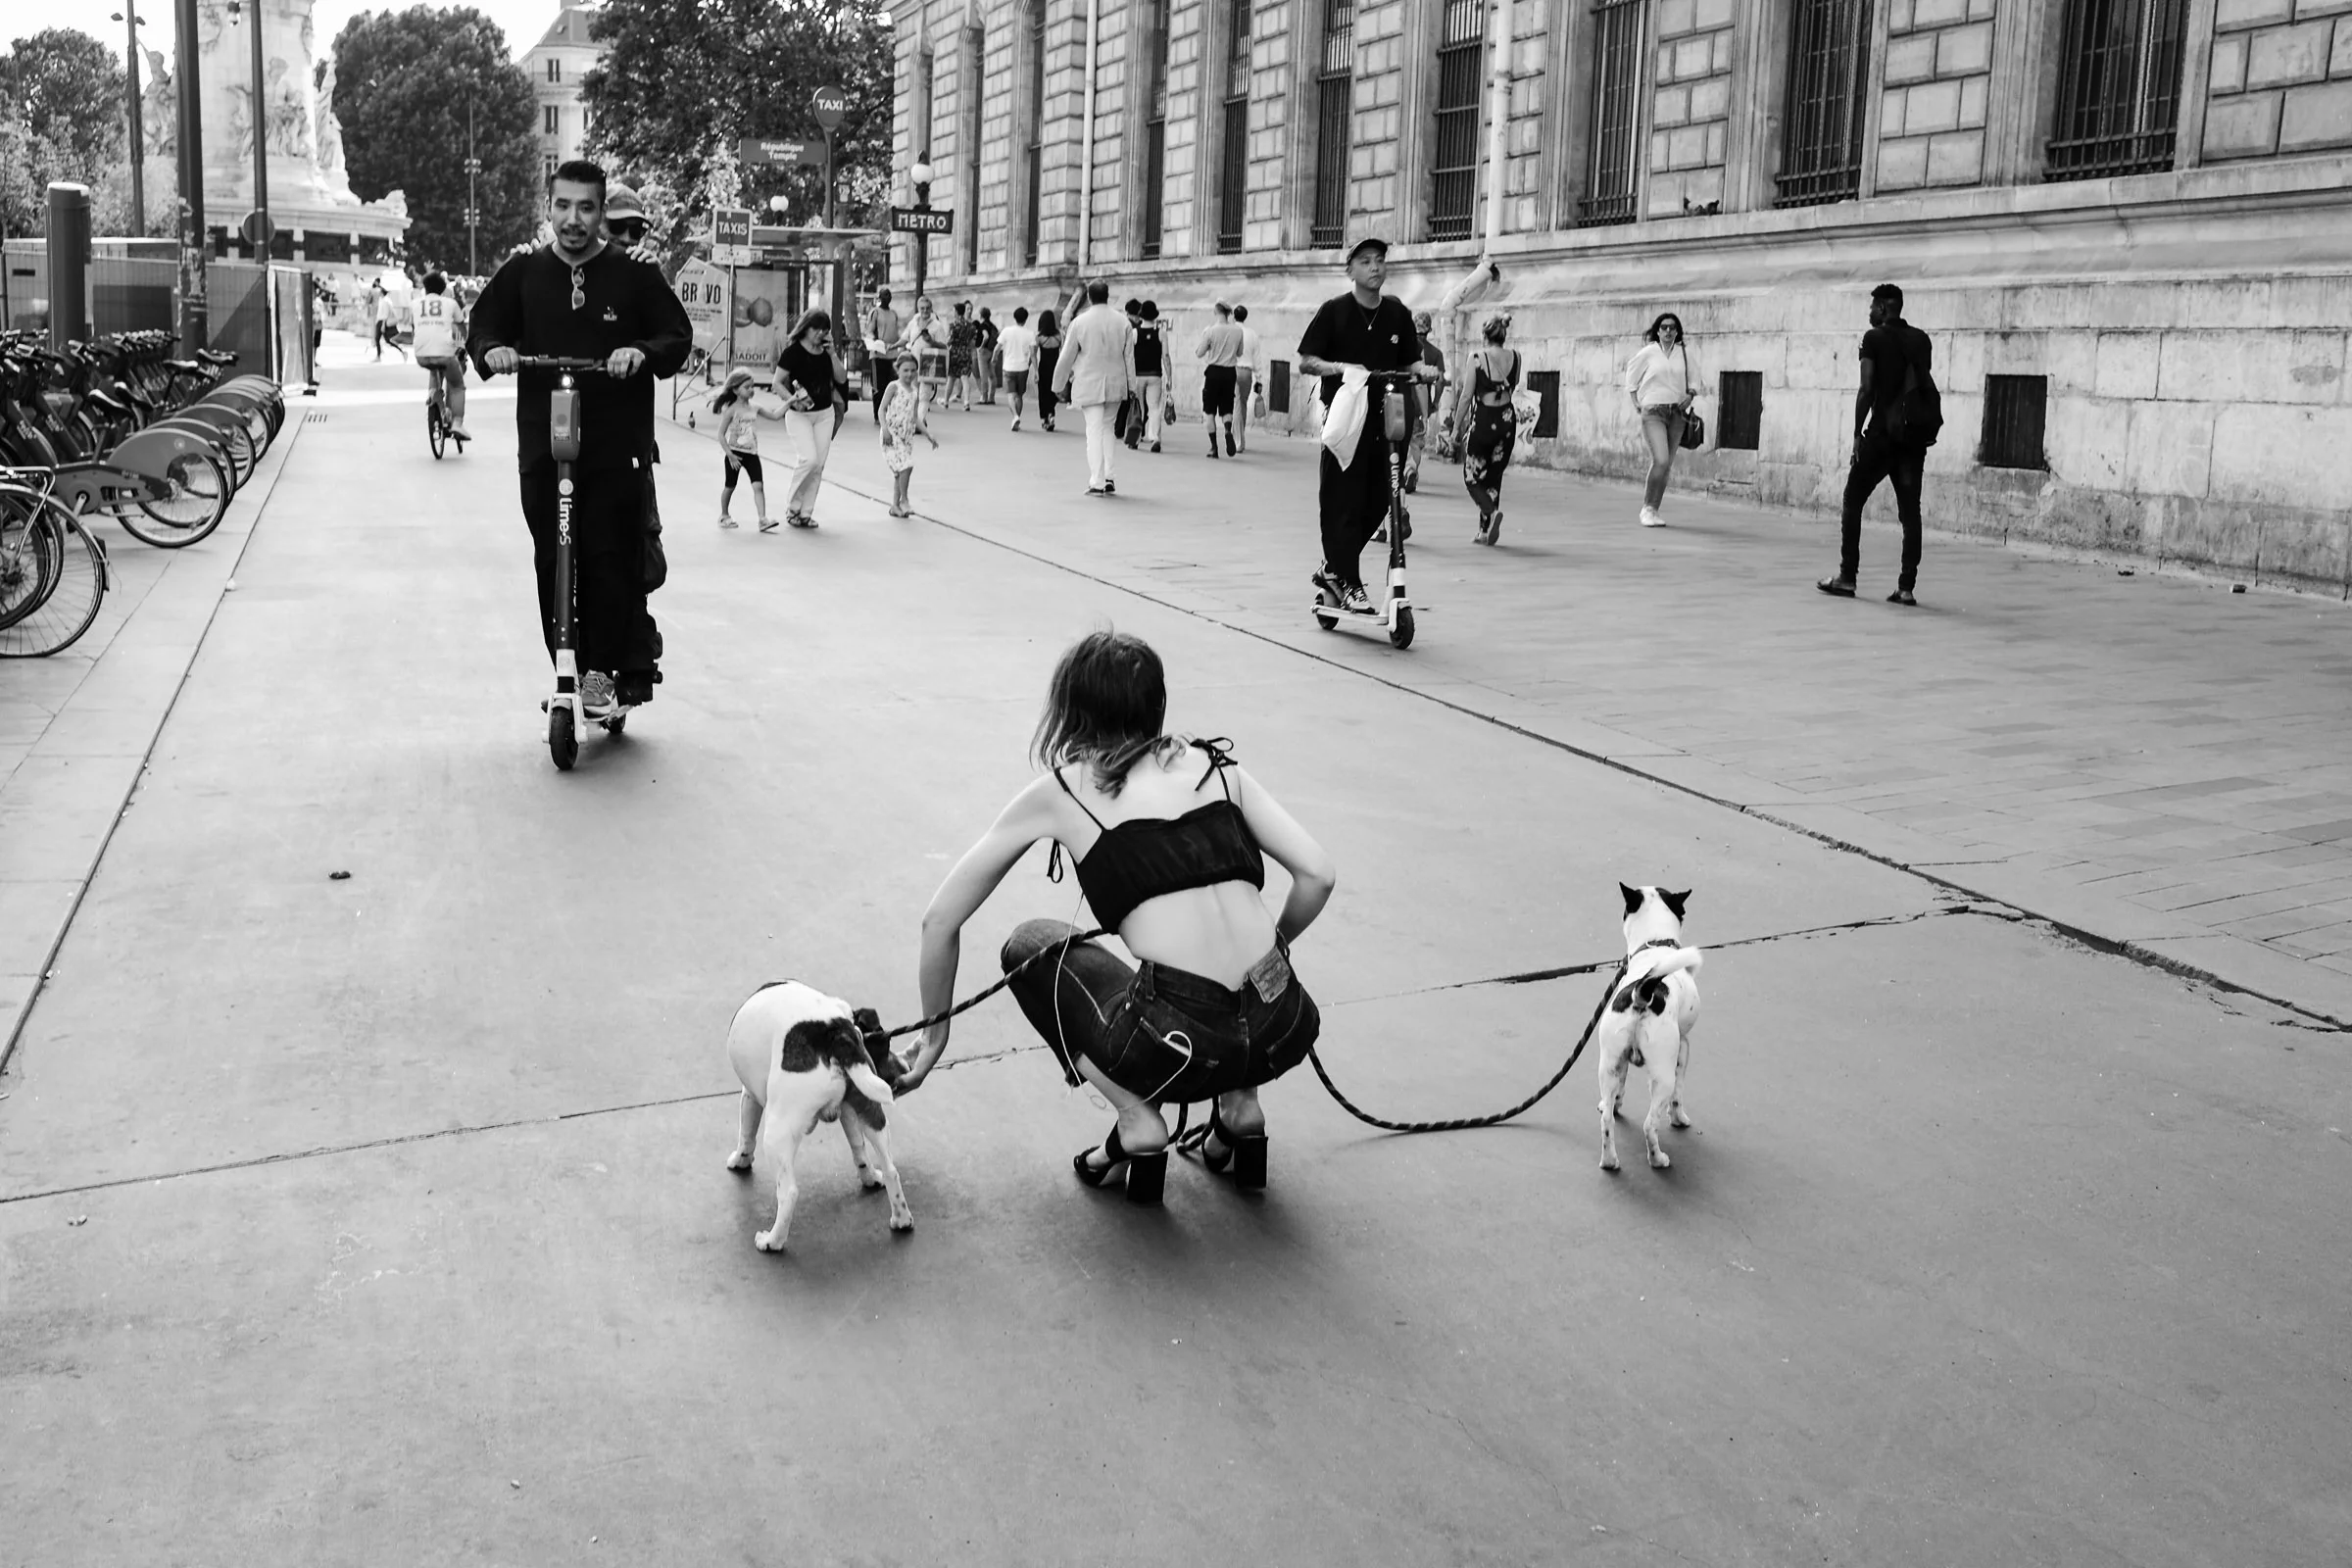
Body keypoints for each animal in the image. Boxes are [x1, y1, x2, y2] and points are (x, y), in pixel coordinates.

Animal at [724, 982, 917, 1250]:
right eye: (886, 1046)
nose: (907, 1067)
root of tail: (835, 1035)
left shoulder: (749, 1095)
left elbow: (746, 1133)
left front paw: (740, 1160)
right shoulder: (849, 1110)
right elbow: (859, 1148)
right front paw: (867, 1174)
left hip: (777, 1133)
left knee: (789, 1192)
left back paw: (772, 1241)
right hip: (873, 1114)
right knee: (890, 1169)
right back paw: (901, 1218)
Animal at [1599, 888, 1712, 1170]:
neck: (1655, 944)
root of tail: (1642, 993)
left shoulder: (1622, 1064)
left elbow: (1618, 1094)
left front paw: (1616, 1103)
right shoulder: (1683, 1047)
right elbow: (1679, 1095)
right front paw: (1679, 1119)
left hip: (1608, 1065)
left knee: (1607, 1121)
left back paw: (1610, 1161)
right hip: (1662, 1077)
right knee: (1650, 1124)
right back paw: (1658, 1159)